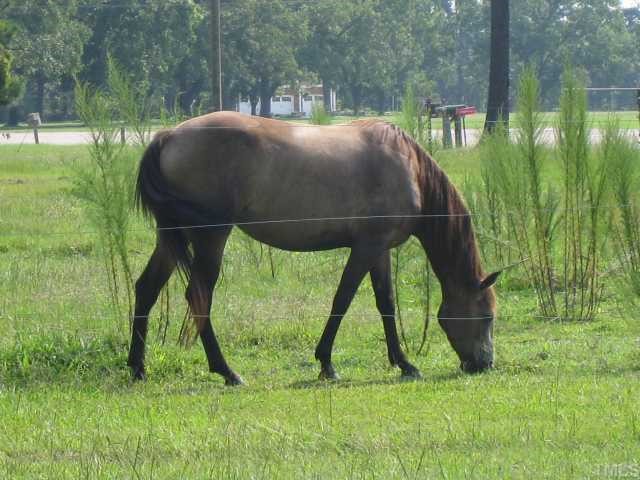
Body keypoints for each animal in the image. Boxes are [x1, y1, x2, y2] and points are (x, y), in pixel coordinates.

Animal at [129, 111, 500, 385]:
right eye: (487, 315)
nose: (484, 363)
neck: (407, 166)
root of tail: (168, 136)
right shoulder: (367, 247)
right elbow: (343, 299)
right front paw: (327, 363)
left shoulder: (380, 250)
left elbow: (386, 303)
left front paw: (404, 363)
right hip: (210, 237)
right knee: (198, 297)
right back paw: (227, 371)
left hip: (171, 238)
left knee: (147, 289)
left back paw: (138, 367)